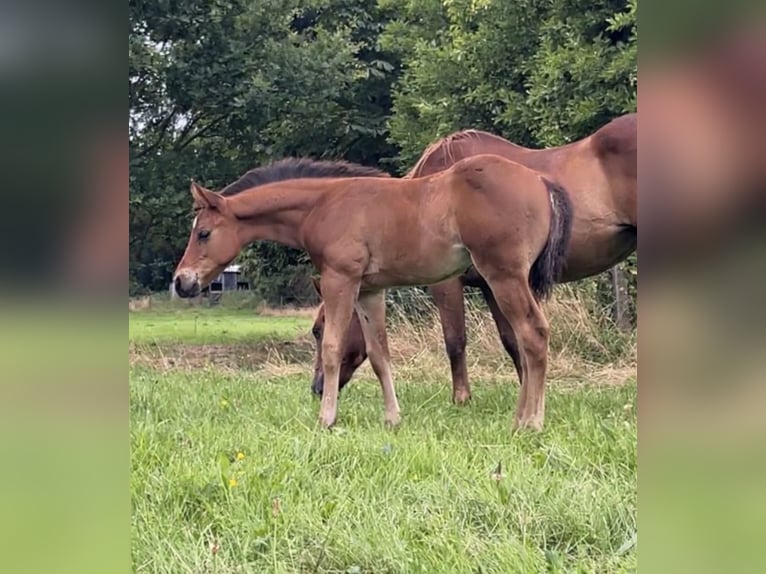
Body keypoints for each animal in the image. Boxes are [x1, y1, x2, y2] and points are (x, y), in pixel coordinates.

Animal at [172, 155, 573, 431]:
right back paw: (519, 418)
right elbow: (380, 354)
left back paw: (531, 422)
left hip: (504, 276)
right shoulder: (370, 290)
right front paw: (393, 418)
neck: (324, 205)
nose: (181, 281)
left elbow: (334, 348)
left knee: (533, 334)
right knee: (523, 340)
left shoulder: (340, 279)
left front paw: (326, 419)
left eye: (203, 232)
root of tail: (541, 181)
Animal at [310, 113, 636, 404]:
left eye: (318, 329)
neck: (420, 203)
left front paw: (461, 398)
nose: (317, 388)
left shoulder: (448, 285)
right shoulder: (492, 285)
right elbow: (513, 342)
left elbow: (455, 340)